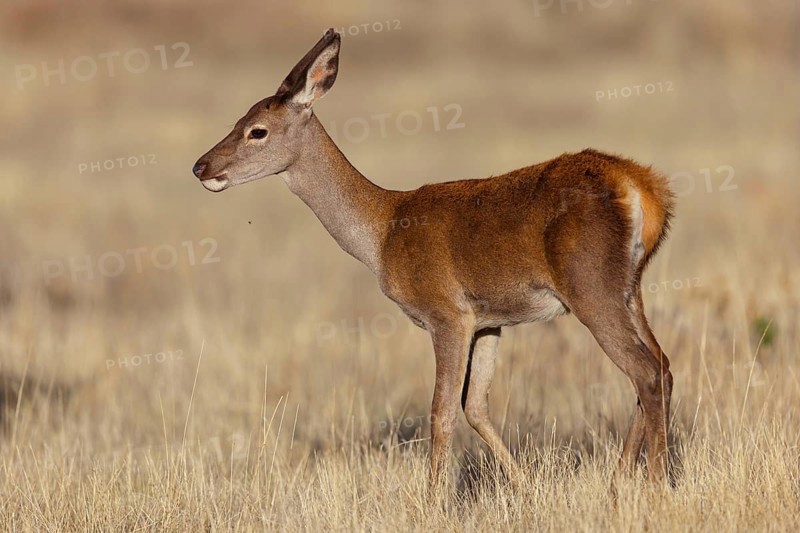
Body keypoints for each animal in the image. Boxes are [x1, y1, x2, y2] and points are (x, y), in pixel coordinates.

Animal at [192, 29, 675, 493]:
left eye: (257, 130)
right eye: (237, 121)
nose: (201, 167)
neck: (382, 232)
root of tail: (642, 187)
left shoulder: (446, 313)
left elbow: (440, 411)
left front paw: (433, 502)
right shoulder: (488, 320)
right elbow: (474, 406)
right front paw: (525, 486)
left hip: (590, 285)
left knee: (645, 372)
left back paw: (654, 485)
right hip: (630, 287)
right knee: (662, 366)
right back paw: (618, 482)